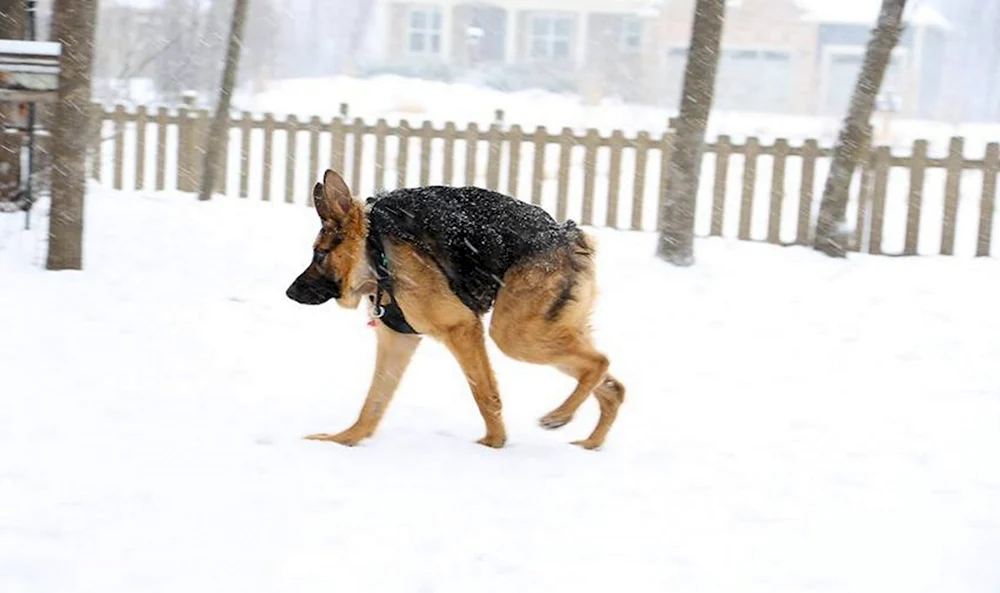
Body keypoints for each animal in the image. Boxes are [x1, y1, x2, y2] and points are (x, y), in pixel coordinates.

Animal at [284, 168, 624, 448]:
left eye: (319, 254)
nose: (289, 292)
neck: (374, 251)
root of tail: (567, 233)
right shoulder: (398, 341)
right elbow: (373, 403)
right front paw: (344, 439)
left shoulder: (461, 328)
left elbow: (484, 393)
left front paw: (493, 443)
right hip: (544, 331)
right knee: (613, 387)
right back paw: (590, 442)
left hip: (515, 335)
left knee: (599, 362)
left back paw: (560, 416)